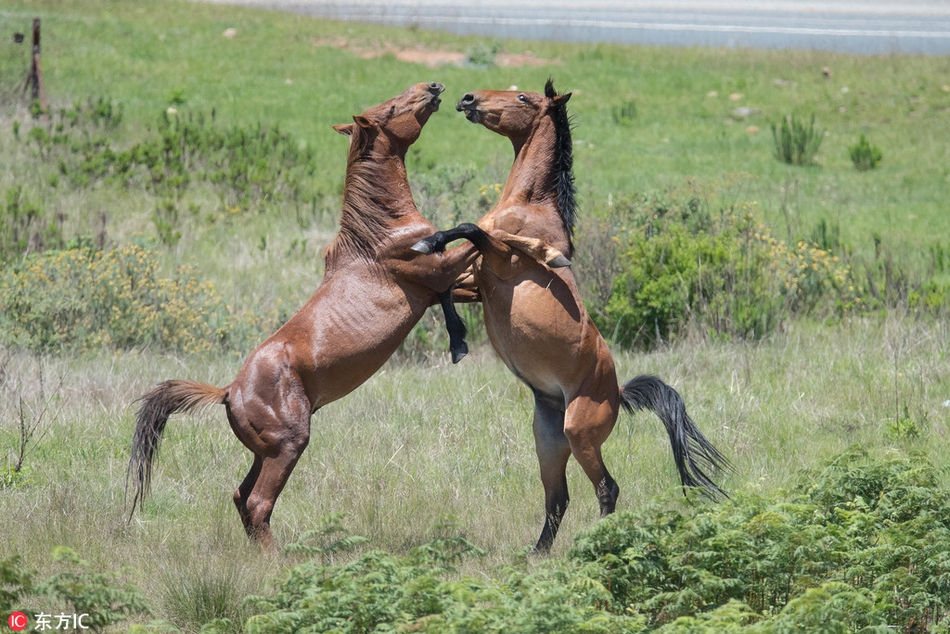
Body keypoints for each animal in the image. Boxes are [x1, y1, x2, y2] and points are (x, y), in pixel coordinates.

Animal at [129, 82, 568, 548]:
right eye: (391, 108)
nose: (434, 88)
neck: (380, 235)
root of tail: (228, 392)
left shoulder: (435, 289)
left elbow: (464, 281)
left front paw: (459, 341)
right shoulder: (434, 272)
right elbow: (477, 235)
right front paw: (550, 253)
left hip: (264, 453)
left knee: (241, 498)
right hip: (287, 447)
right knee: (258, 504)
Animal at [412, 81, 732, 552]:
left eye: (523, 98)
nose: (467, 99)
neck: (529, 207)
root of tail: (617, 392)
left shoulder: (500, 260)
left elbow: (469, 229)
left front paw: (430, 243)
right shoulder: (478, 283)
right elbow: (443, 288)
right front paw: (457, 341)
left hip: (581, 436)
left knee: (606, 488)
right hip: (549, 440)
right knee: (558, 497)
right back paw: (536, 553)